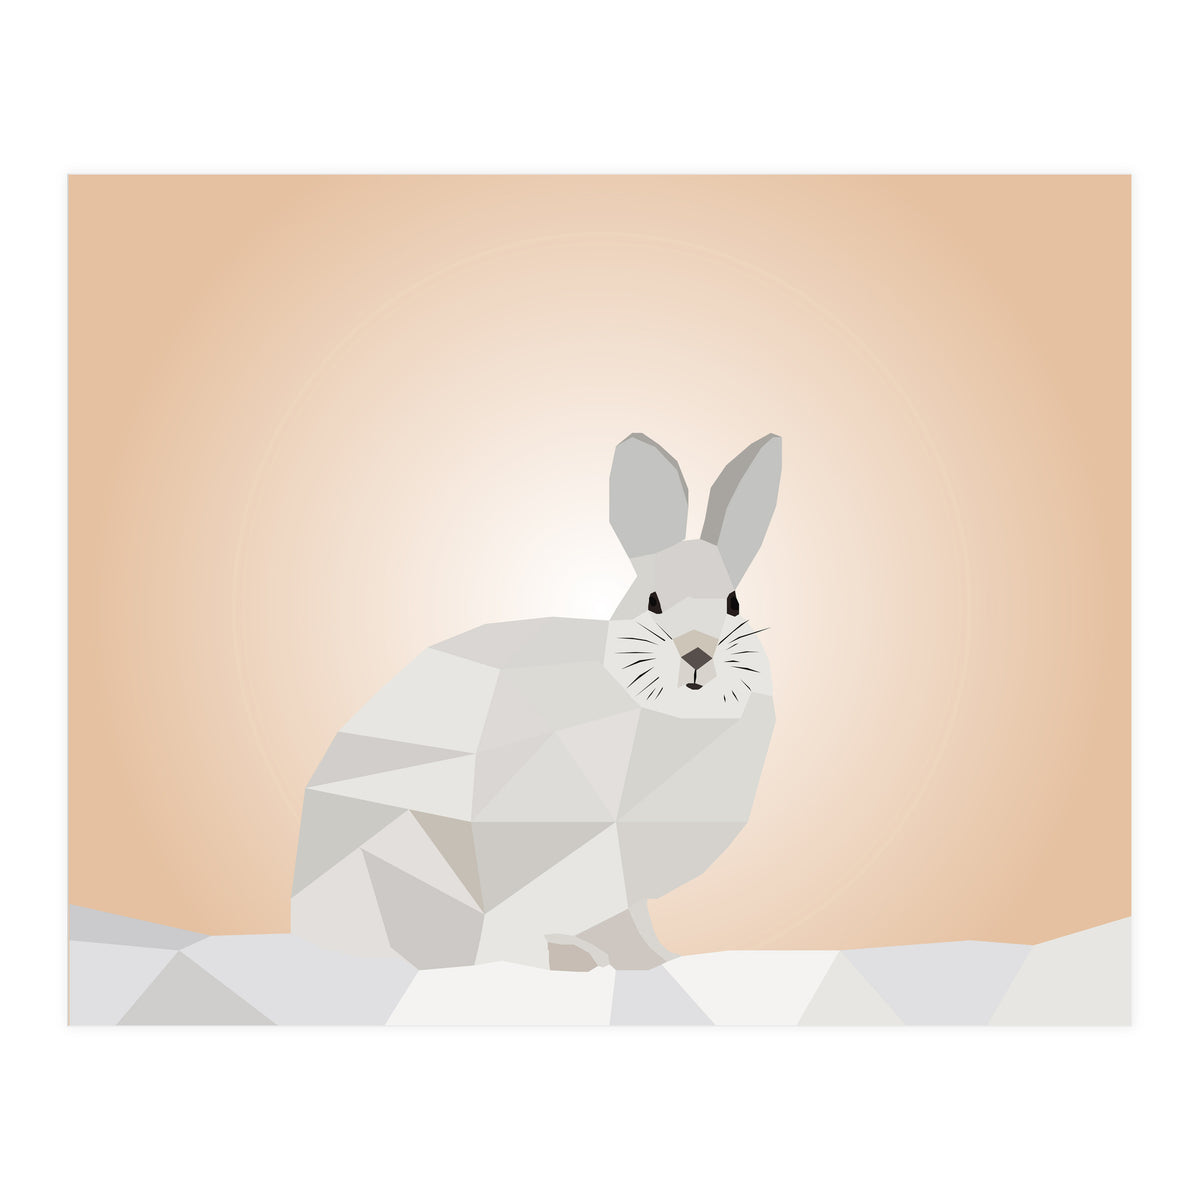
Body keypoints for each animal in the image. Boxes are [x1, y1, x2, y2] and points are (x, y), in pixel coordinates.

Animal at [290, 432, 782, 971]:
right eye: (652, 602)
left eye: (733, 604)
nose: (698, 653)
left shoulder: (622, 888)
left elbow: (631, 926)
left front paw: (657, 960)